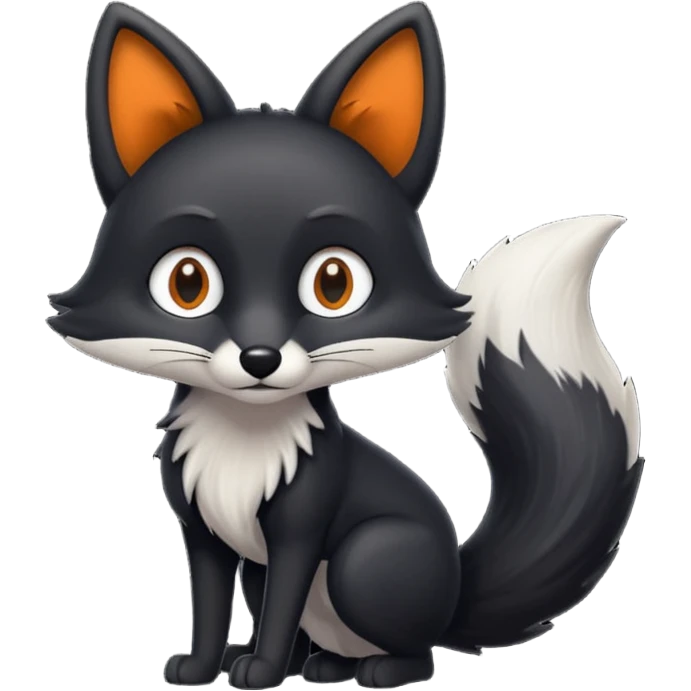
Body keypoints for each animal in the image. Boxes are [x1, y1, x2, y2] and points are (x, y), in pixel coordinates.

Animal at [49, 1, 643, 688]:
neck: (244, 440)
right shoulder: (203, 532)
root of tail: (455, 593)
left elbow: (283, 605)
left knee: (411, 648)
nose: (259, 358)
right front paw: (200, 666)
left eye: (334, 283)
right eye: (187, 283)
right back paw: (312, 665)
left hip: (368, 558)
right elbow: (210, 604)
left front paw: (261, 673)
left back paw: (372, 670)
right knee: (305, 630)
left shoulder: (302, 530)